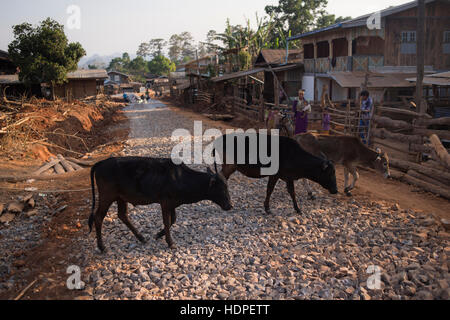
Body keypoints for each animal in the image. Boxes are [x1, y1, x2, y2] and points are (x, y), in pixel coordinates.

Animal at [88, 158, 232, 252]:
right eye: (222, 188)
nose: (230, 206)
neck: (181, 179)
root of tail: (101, 162)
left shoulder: (172, 203)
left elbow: (173, 219)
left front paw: (158, 235)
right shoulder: (165, 202)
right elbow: (167, 221)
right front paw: (171, 243)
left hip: (121, 197)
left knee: (122, 215)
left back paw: (141, 238)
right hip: (107, 196)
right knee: (98, 217)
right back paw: (102, 247)